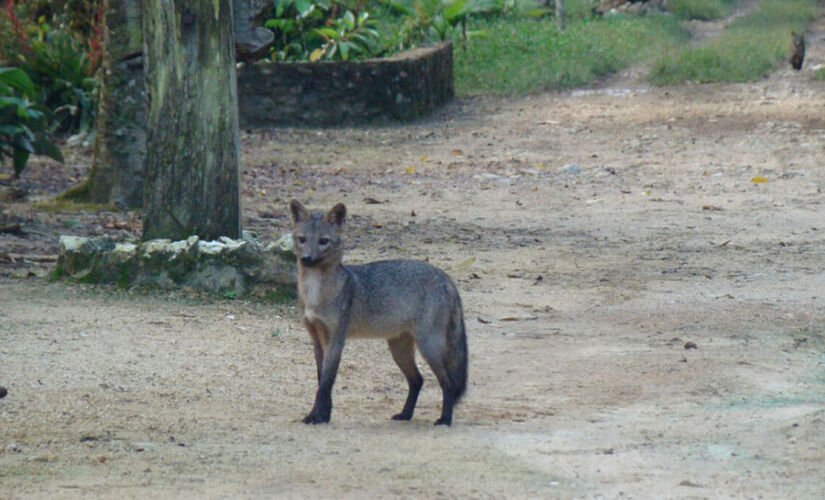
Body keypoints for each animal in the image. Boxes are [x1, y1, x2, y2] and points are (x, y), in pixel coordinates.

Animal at [288, 199, 470, 426]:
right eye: (302, 239)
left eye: (324, 241)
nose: (307, 259)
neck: (315, 293)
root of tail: (446, 277)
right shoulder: (317, 340)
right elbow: (321, 381)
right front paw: (321, 415)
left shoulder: (336, 341)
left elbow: (326, 384)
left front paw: (318, 416)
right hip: (399, 349)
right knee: (417, 380)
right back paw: (405, 414)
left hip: (429, 346)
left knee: (447, 382)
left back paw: (445, 419)